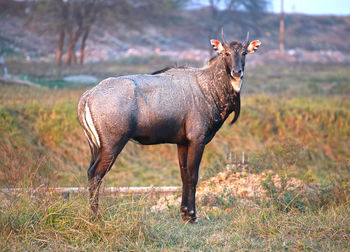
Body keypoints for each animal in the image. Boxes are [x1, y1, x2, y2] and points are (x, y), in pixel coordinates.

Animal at [78, 31, 262, 222]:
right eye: (226, 53)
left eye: (244, 53)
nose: (237, 72)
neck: (208, 87)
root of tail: (87, 96)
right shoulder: (197, 139)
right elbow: (193, 176)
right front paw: (192, 216)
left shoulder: (182, 142)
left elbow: (184, 175)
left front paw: (184, 213)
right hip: (113, 144)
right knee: (96, 174)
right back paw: (95, 216)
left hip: (96, 146)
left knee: (90, 171)